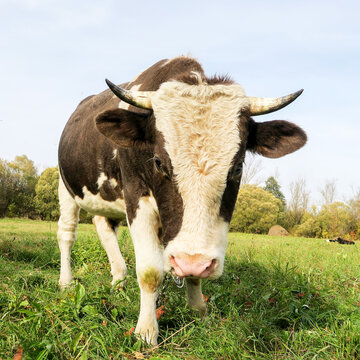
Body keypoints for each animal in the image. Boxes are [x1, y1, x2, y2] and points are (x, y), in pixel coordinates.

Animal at [57, 54, 306, 344]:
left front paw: (198, 310)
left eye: (238, 167)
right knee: (67, 233)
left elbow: (192, 275)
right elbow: (151, 271)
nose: (193, 263)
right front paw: (146, 331)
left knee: (104, 228)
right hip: (65, 186)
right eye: (158, 162)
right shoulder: (136, 195)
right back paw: (66, 282)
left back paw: (118, 280)